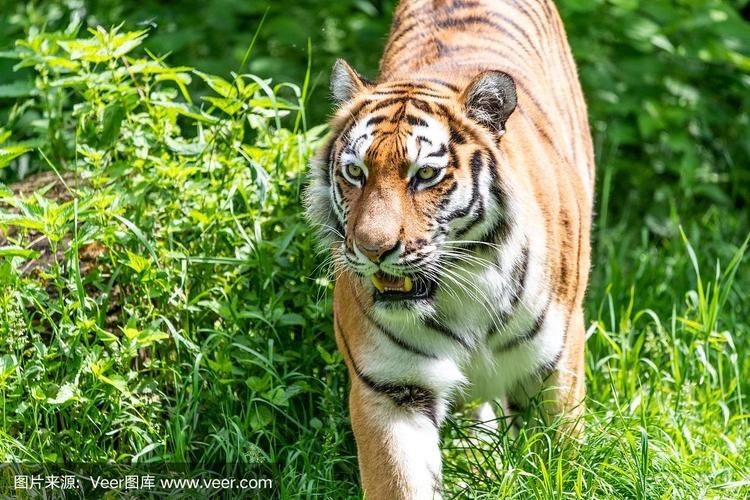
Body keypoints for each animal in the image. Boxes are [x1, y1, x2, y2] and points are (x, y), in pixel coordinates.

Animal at [305, 0, 594, 497]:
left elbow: (561, 459)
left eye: (424, 175)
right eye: (355, 172)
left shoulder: (556, 369)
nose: (372, 248)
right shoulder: (390, 386)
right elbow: (400, 481)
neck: (463, 291)